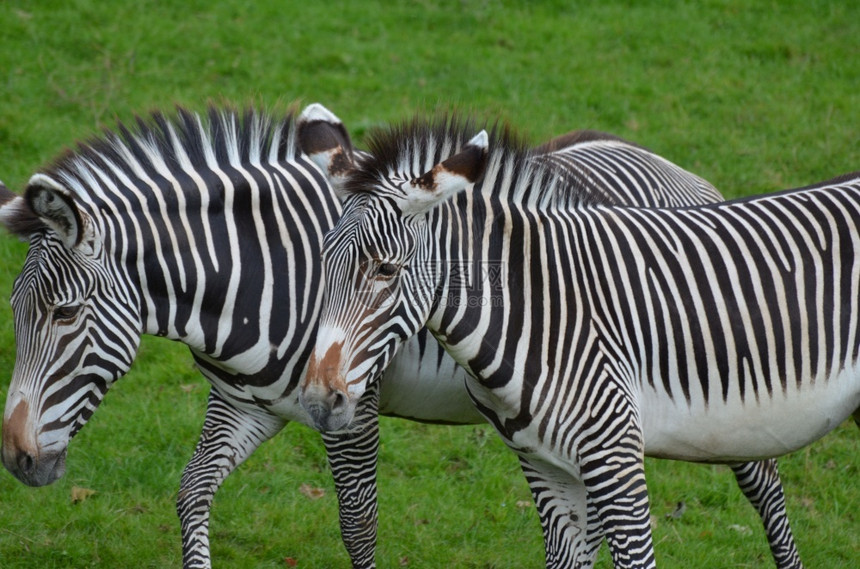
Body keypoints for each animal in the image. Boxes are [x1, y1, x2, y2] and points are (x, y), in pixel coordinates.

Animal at [0, 103, 800, 568]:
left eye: (64, 316)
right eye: (13, 311)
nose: (17, 459)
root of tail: (679, 171)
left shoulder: (350, 407)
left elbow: (357, 524)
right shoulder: (246, 403)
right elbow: (191, 495)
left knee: (766, 487)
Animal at [298, 113, 860, 564]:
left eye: (386, 270)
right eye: (320, 262)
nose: (319, 402)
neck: (540, 309)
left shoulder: (617, 457)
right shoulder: (547, 466)